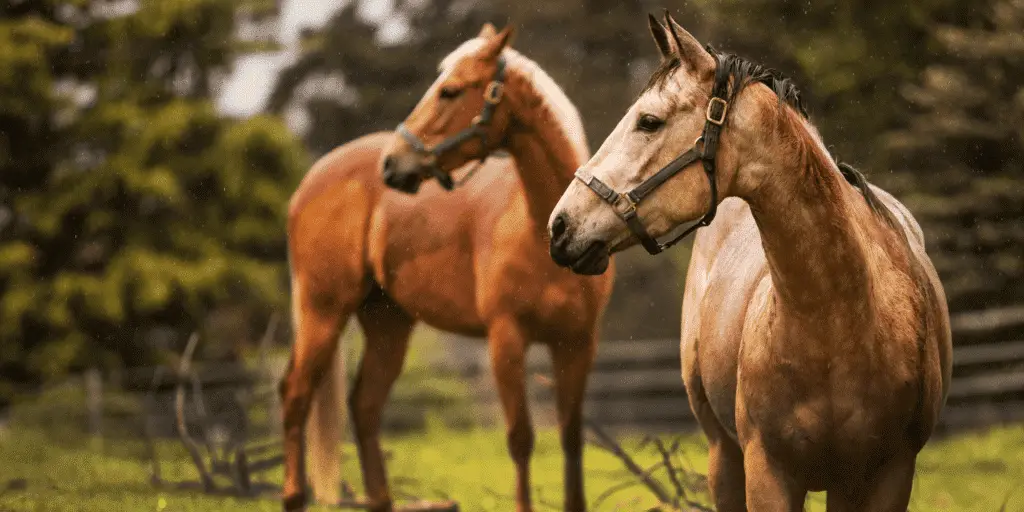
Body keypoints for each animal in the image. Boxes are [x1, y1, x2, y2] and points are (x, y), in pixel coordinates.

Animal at [280, 24, 610, 512]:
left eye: (450, 90)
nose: (392, 163)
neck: (541, 230)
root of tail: (312, 179)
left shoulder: (577, 344)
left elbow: (570, 440)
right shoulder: (506, 339)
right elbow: (521, 439)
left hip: (388, 324)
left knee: (364, 406)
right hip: (322, 312)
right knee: (296, 394)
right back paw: (293, 495)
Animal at [548, 14, 954, 509]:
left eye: (648, 121)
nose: (560, 225)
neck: (841, 321)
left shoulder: (889, 474)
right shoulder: (768, 474)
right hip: (724, 456)